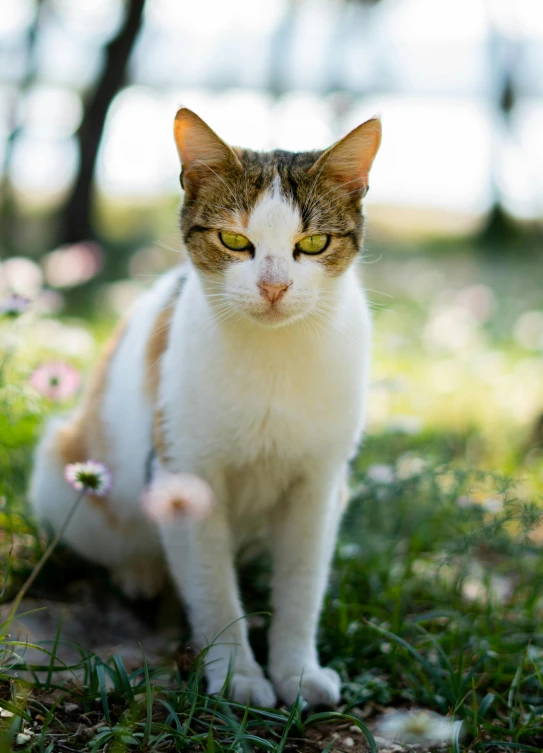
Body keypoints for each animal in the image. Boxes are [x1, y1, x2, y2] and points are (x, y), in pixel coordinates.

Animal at [27, 108, 380, 708]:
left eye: (313, 243)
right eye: (234, 240)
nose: (274, 287)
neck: (273, 357)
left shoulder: (319, 484)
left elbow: (302, 587)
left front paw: (297, 672)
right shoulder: (185, 473)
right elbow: (212, 589)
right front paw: (238, 673)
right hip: (67, 472)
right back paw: (140, 572)